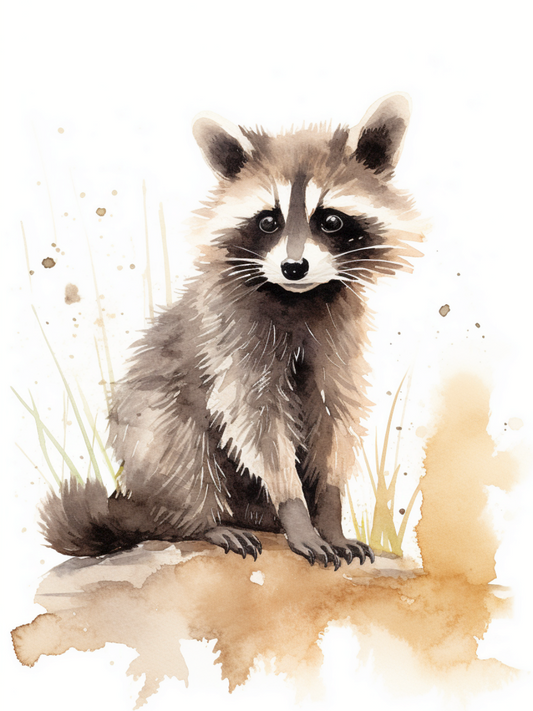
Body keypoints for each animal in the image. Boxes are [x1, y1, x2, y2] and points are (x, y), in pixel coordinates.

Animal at [41, 93, 423, 569]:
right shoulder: (232, 333)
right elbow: (257, 423)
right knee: (178, 447)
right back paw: (203, 522)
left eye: (331, 220)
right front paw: (296, 512)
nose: (293, 267)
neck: (297, 297)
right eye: (268, 221)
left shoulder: (339, 338)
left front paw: (330, 517)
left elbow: (333, 421)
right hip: (154, 429)